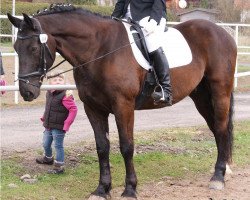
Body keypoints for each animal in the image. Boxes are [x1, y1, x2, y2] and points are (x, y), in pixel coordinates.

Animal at [7, 4, 236, 198]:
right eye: (16, 47)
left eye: (34, 49)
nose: (27, 92)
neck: (100, 50)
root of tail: (223, 32)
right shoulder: (93, 108)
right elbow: (102, 147)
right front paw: (102, 189)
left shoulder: (123, 106)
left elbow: (127, 146)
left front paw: (130, 190)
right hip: (201, 96)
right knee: (216, 129)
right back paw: (223, 171)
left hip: (220, 92)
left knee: (221, 128)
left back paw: (218, 177)